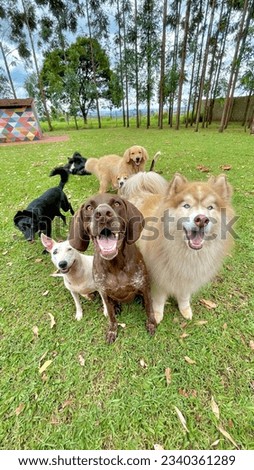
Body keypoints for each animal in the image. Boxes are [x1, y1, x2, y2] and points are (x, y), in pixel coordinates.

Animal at [122, 172, 235, 324]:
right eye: (186, 205)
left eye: (210, 207)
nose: (201, 219)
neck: (187, 253)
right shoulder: (159, 276)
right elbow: (158, 300)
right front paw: (156, 315)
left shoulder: (187, 276)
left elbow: (184, 296)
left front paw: (185, 310)